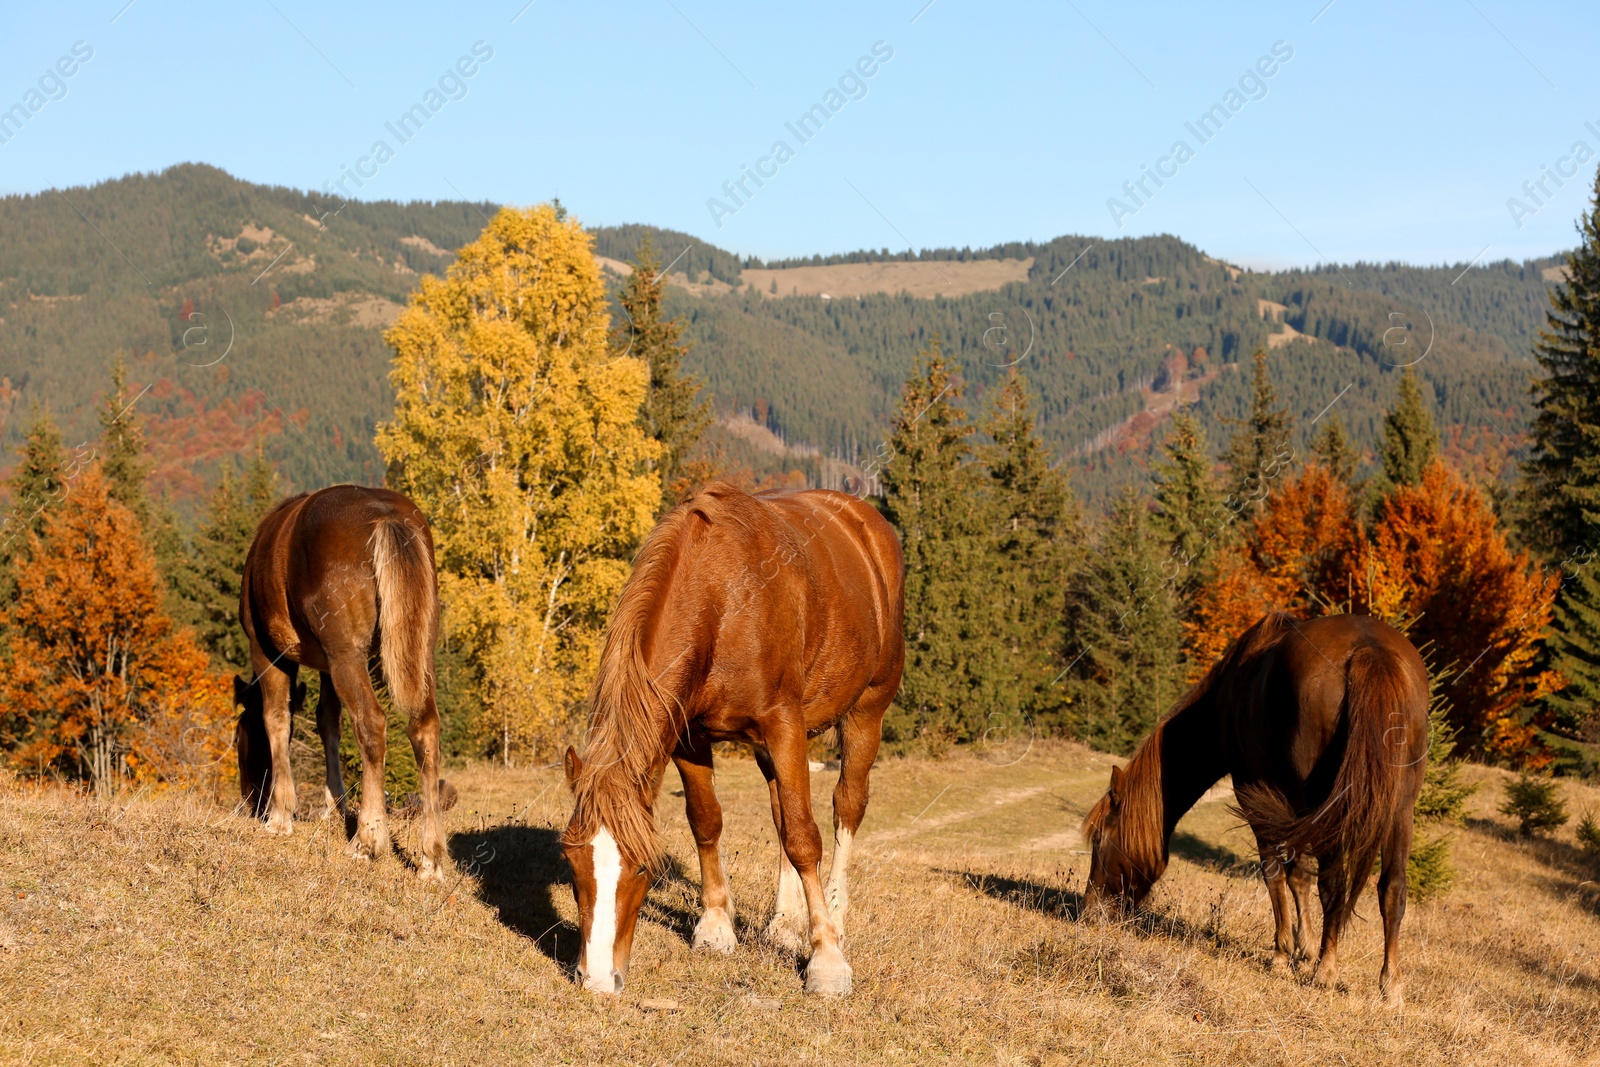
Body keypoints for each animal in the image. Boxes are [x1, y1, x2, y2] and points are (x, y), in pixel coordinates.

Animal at [232, 489, 448, 883]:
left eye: (239, 739)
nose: (248, 800)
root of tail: (385, 515)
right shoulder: (326, 667)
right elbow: (327, 722)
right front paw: (334, 805)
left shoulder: (268, 652)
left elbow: (276, 719)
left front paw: (281, 815)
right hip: (417, 652)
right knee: (425, 730)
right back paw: (430, 858)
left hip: (347, 656)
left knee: (371, 724)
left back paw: (367, 840)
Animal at [560, 483, 902, 1004]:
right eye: (571, 858)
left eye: (642, 868)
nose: (597, 978)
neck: (722, 601)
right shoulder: (688, 735)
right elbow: (707, 821)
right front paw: (716, 925)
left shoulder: (784, 725)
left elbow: (804, 838)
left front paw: (826, 960)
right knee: (781, 811)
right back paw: (784, 923)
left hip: (867, 711)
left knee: (846, 806)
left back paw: (834, 915)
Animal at [1081, 614, 1433, 1004]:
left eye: (1099, 841)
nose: (1088, 913)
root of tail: (1369, 651)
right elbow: (1299, 877)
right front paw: (1304, 947)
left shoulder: (1257, 798)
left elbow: (1275, 873)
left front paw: (1283, 955)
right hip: (1399, 809)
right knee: (1392, 888)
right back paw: (1391, 985)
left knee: (1335, 885)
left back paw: (1326, 971)